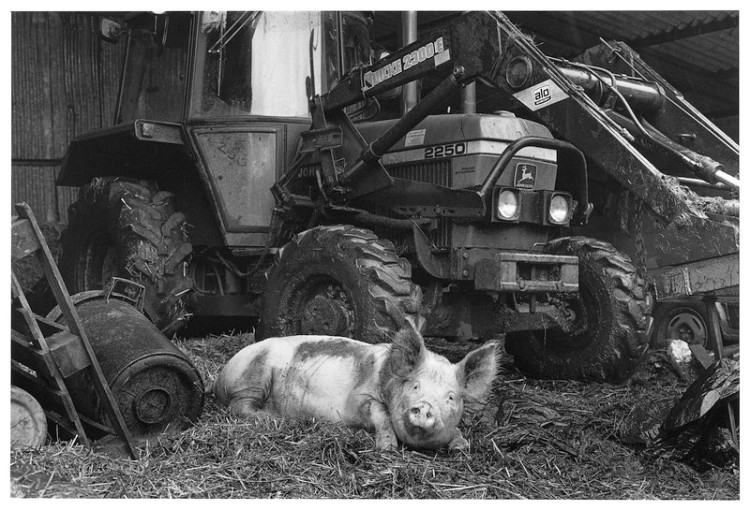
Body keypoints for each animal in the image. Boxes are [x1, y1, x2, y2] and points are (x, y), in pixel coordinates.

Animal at [212, 321, 499, 451]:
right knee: (239, 406)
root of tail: (220, 375)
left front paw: (461, 448)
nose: (425, 407)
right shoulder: (360, 397)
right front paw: (387, 448)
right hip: (253, 377)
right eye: (415, 386)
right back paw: (273, 417)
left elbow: (458, 431)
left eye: (451, 397)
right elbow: (381, 415)